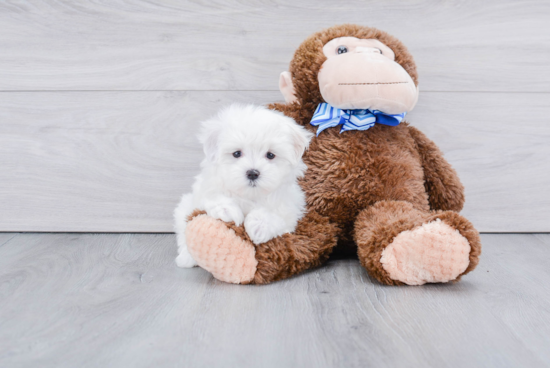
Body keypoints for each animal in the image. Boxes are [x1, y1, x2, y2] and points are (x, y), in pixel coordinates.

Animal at [176, 103, 314, 268]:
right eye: (236, 153)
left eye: (270, 155)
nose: (253, 173)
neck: (249, 195)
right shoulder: (205, 190)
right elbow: (214, 197)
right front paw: (227, 210)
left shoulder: (288, 209)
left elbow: (274, 215)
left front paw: (258, 226)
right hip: (184, 207)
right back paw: (186, 257)